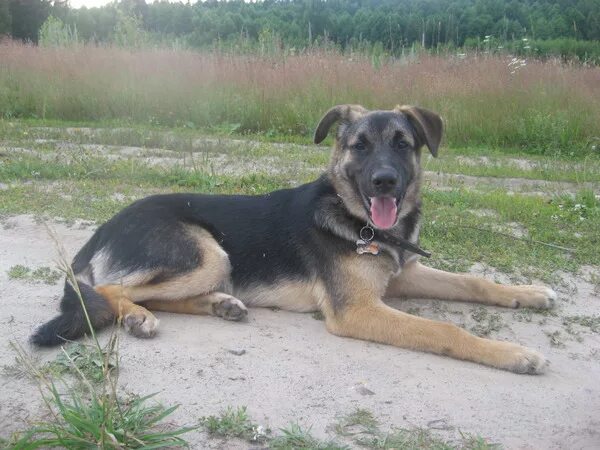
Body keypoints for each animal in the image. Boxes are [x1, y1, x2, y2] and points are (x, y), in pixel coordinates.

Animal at [30, 104, 556, 372]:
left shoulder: (402, 274)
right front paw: (513, 354)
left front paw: (529, 293)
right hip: (207, 253)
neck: (357, 219)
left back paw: (220, 305)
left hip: (212, 263)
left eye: (402, 144)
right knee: (107, 289)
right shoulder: (356, 310)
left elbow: (473, 281)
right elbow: (444, 331)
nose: (384, 181)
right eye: (358, 146)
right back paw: (138, 317)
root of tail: (103, 227)